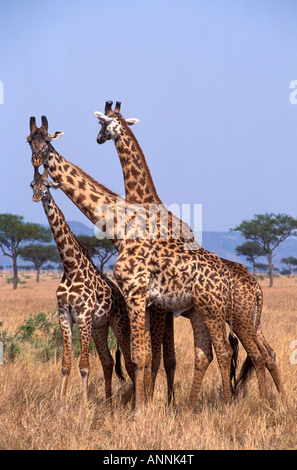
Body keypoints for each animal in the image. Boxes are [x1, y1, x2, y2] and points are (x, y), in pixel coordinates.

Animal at [29, 165, 134, 404]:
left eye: (47, 185)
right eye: (32, 184)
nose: (37, 196)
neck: (70, 267)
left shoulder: (83, 315)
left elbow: (84, 365)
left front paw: (84, 406)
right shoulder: (65, 315)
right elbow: (65, 365)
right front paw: (60, 404)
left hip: (119, 324)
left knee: (130, 363)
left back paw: (133, 401)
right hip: (99, 327)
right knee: (108, 361)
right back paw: (109, 403)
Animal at [93, 101, 284, 402]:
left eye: (102, 124)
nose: (98, 139)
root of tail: (256, 288)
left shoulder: (156, 302)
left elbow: (158, 356)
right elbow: (164, 356)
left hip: (237, 318)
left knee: (253, 354)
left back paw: (260, 401)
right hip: (251, 319)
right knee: (268, 352)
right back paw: (280, 400)